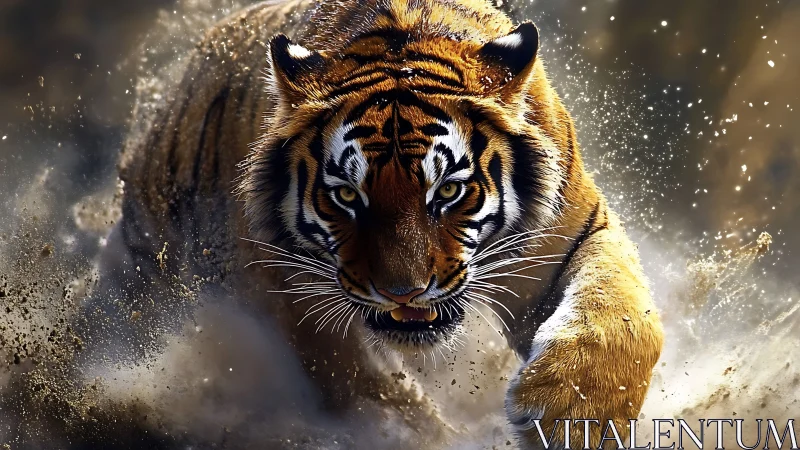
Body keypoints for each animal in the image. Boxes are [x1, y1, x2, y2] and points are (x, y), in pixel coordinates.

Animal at [108, 0, 665, 447]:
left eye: (448, 190)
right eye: (346, 196)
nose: (404, 292)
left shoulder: (569, 234)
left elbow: (625, 315)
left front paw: (574, 416)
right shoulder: (286, 292)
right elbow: (366, 388)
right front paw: (435, 437)